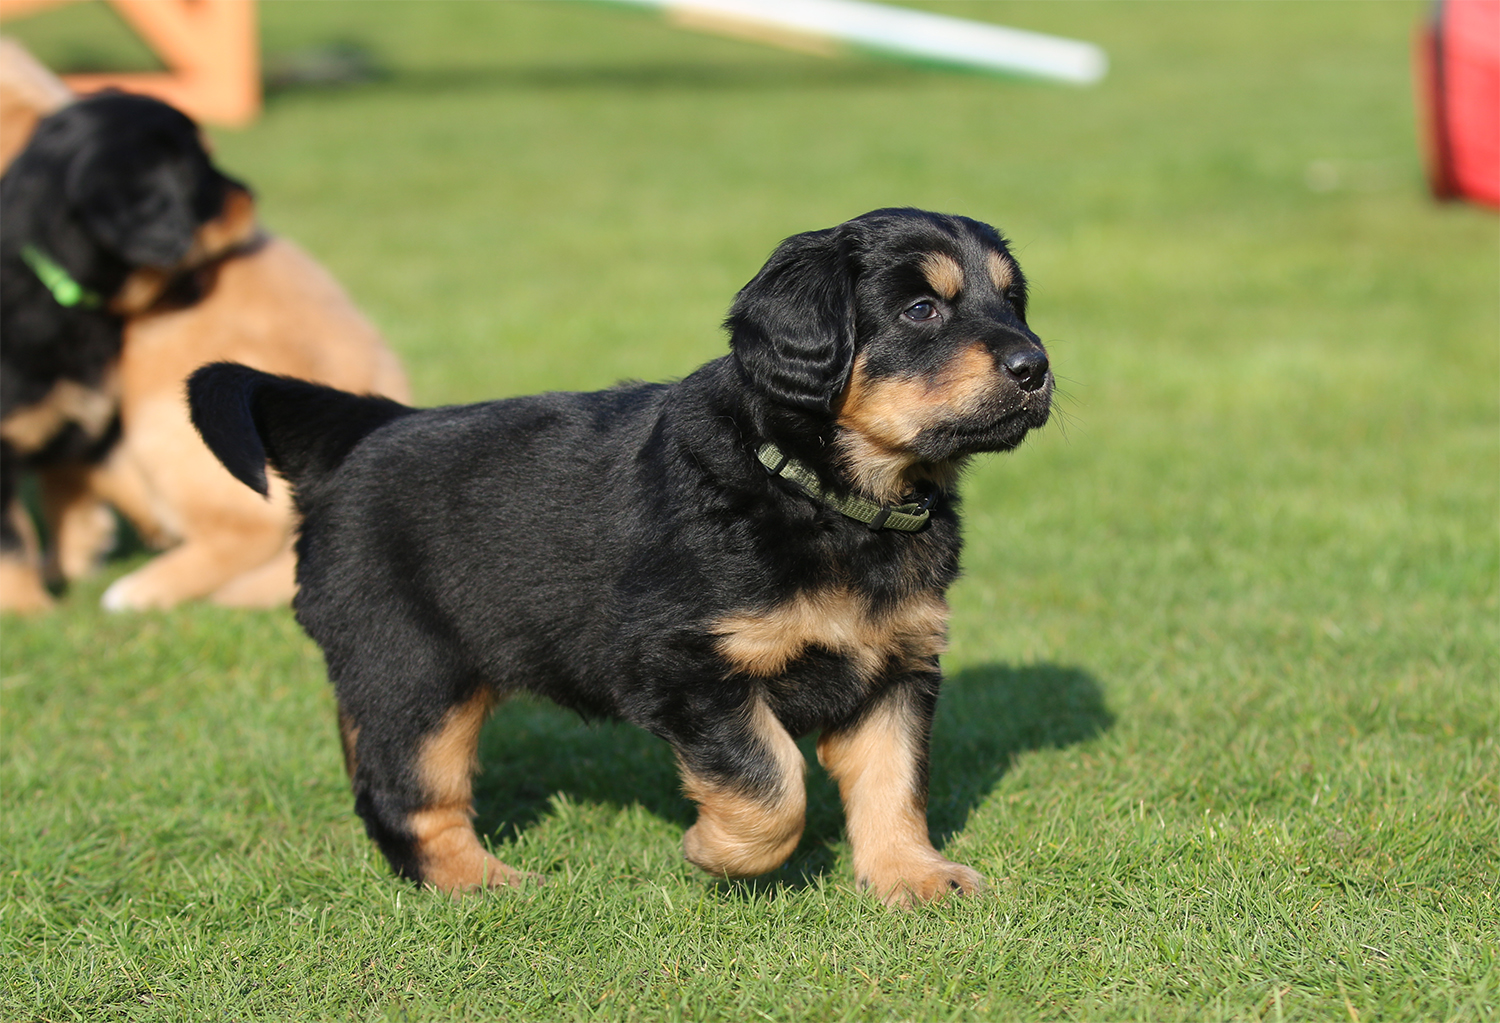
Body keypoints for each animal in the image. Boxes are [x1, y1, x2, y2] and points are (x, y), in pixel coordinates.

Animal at [188, 208, 1053, 906]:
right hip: (412, 666)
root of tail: (363, 428)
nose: (1036, 367)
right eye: (920, 309)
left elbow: (893, 781)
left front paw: (913, 877)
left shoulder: (896, 663)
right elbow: (773, 780)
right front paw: (718, 850)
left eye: (1013, 303)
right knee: (407, 793)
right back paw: (485, 884)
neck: (826, 496)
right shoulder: (681, 661)